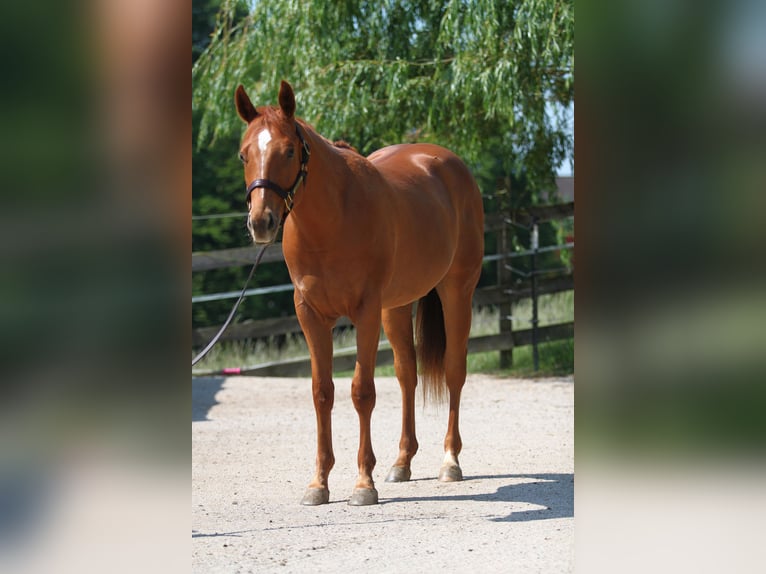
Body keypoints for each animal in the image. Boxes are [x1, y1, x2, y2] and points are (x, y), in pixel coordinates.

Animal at [235, 81, 484, 506]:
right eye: (243, 155)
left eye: (288, 151)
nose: (261, 222)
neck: (334, 221)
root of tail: (449, 163)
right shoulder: (310, 314)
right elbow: (322, 393)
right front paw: (318, 483)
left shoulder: (365, 312)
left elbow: (362, 392)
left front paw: (363, 484)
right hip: (396, 308)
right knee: (407, 374)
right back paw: (402, 462)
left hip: (457, 291)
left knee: (454, 370)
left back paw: (450, 461)